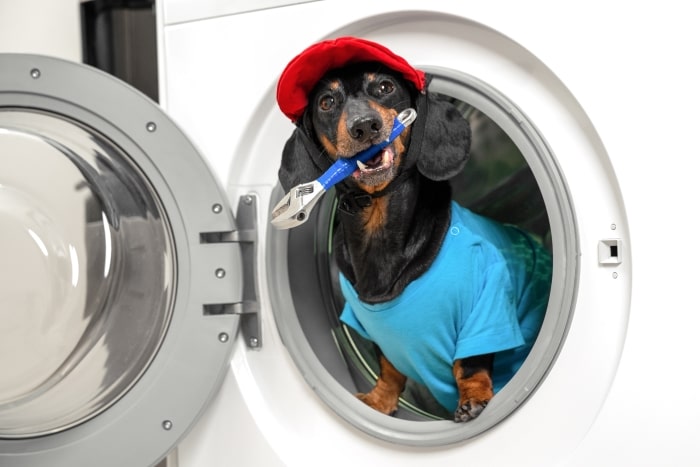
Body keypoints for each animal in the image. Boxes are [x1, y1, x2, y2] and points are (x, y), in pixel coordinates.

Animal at [274, 37, 552, 424]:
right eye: (327, 102)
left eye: (384, 87)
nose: (365, 126)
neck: (379, 231)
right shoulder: (372, 329)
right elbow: (389, 367)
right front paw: (380, 399)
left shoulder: (486, 306)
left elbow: (469, 364)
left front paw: (474, 397)